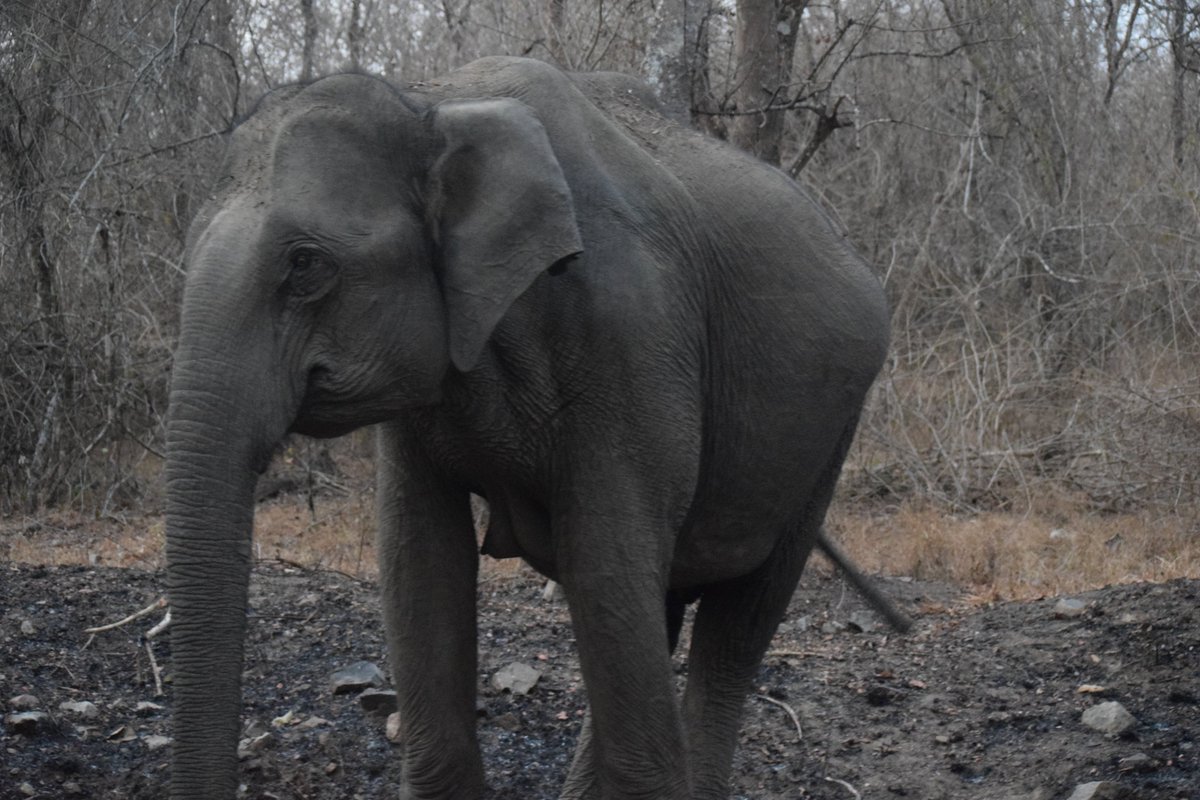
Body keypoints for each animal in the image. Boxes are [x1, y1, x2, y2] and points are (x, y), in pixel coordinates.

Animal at [165, 56, 895, 800]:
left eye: (306, 264)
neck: (434, 103)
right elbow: (420, 558)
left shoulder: (633, 338)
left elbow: (603, 558)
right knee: (657, 608)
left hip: (828, 437)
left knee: (735, 624)